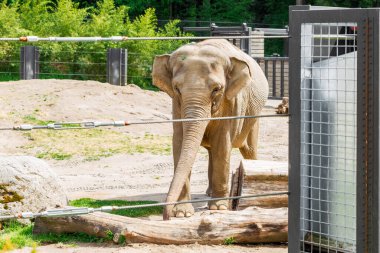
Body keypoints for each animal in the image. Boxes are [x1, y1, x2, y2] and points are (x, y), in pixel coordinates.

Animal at [151, 38, 268, 219]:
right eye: (177, 88)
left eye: (217, 89)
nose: (166, 217)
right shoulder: (176, 106)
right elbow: (179, 142)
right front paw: (182, 213)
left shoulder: (231, 103)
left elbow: (222, 145)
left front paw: (219, 208)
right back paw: (209, 193)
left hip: (254, 115)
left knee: (249, 150)